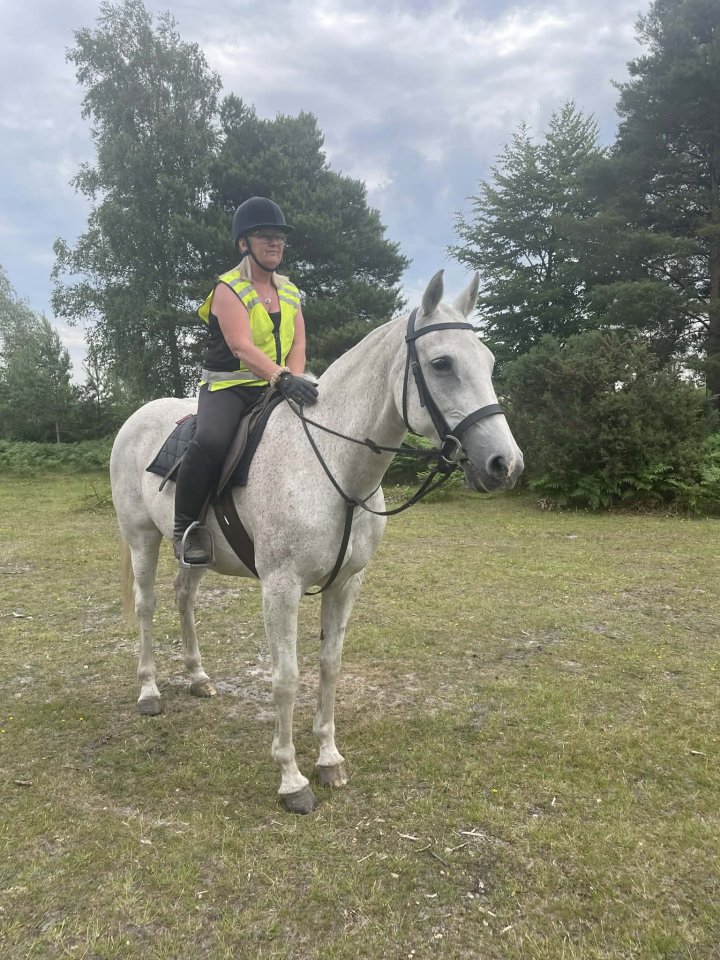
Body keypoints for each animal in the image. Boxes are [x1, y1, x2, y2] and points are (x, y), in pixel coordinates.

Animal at [109, 269, 524, 813]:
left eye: (490, 363)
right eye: (442, 363)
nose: (505, 464)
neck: (333, 462)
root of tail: (137, 418)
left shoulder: (346, 583)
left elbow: (329, 665)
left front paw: (328, 759)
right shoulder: (280, 586)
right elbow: (286, 678)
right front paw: (292, 779)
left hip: (192, 551)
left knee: (184, 597)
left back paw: (198, 679)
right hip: (141, 538)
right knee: (146, 605)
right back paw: (149, 692)